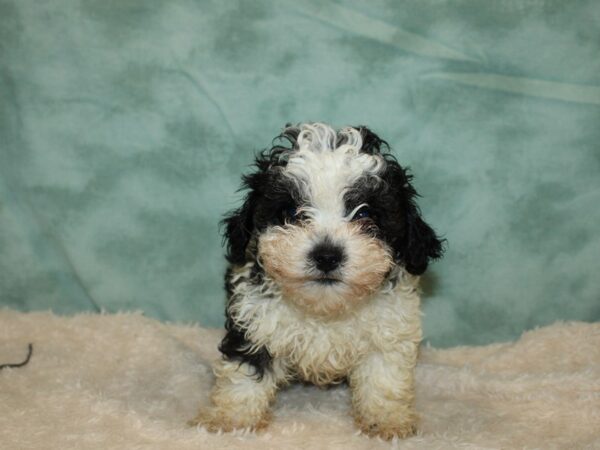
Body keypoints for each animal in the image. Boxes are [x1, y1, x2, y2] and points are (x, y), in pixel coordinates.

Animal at [192, 122, 446, 440]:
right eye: (291, 213)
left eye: (365, 213)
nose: (327, 256)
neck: (325, 309)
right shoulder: (253, 320)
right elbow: (244, 372)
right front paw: (232, 420)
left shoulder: (388, 331)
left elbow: (383, 377)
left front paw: (386, 421)